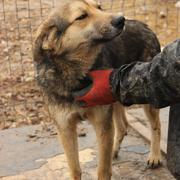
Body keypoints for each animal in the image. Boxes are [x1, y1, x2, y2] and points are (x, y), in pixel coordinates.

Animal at [33, 0, 162, 179]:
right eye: (81, 16)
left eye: (99, 7)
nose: (121, 19)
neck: (76, 75)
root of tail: (145, 26)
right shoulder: (65, 128)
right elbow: (74, 168)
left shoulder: (102, 124)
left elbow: (103, 169)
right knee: (123, 126)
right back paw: (115, 150)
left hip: (147, 96)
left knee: (156, 125)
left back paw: (155, 156)